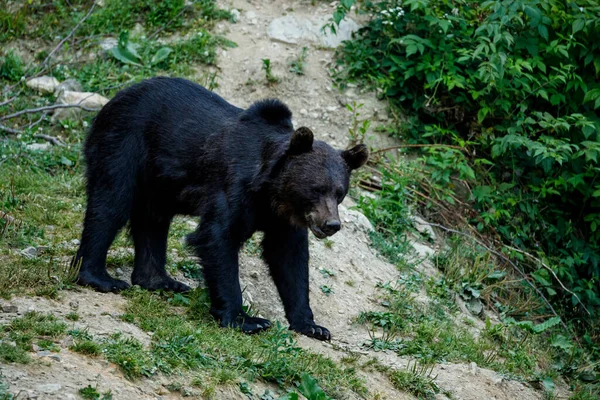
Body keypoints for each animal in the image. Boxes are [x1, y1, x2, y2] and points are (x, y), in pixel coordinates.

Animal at [72, 77, 368, 340]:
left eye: (340, 193)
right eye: (316, 188)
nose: (331, 225)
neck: (270, 193)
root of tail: (116, 97)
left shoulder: (282, 220)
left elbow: (289, 259)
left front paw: (312, 325)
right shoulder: (233, 188)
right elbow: (218, 238)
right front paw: (246, 319)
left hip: (159, 182)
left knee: (153, 220)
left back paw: (160, 280)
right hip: (125, 145)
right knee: (110, 202)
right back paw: (100, 277)